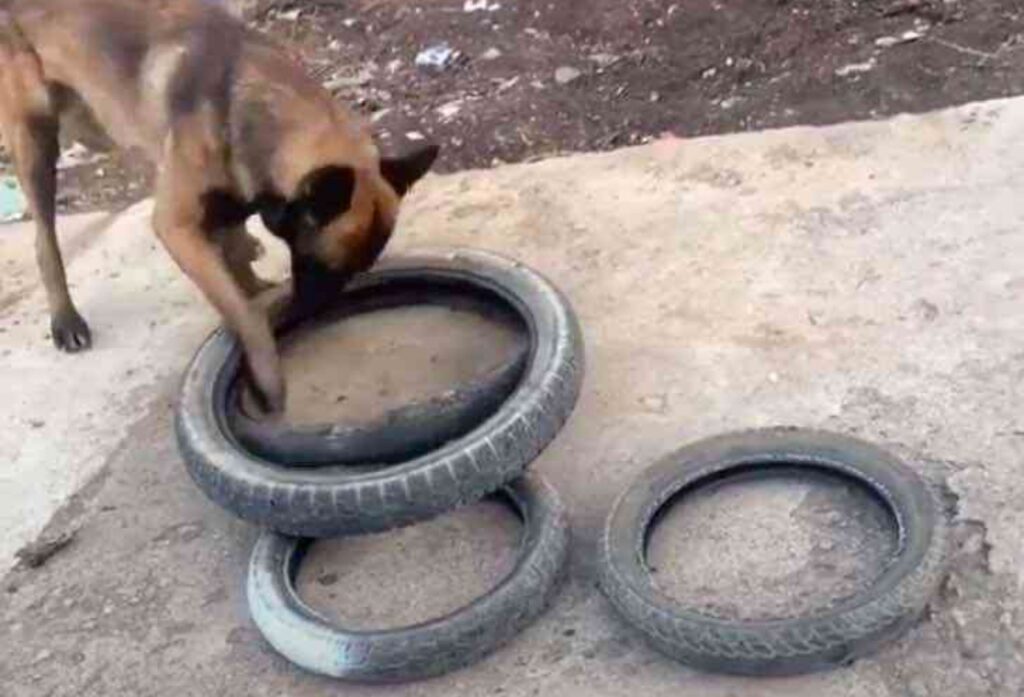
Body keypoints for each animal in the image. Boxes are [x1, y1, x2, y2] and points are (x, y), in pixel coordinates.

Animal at [0, 0, 436, 411]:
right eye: (322, 267)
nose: (312, 314)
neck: (243, 103)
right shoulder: (176, 227)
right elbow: (245, 310)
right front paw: (267, 376)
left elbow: (238, 261)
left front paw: (253, 279)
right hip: (36, 144)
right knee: (44, 240)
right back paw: (65, 318)